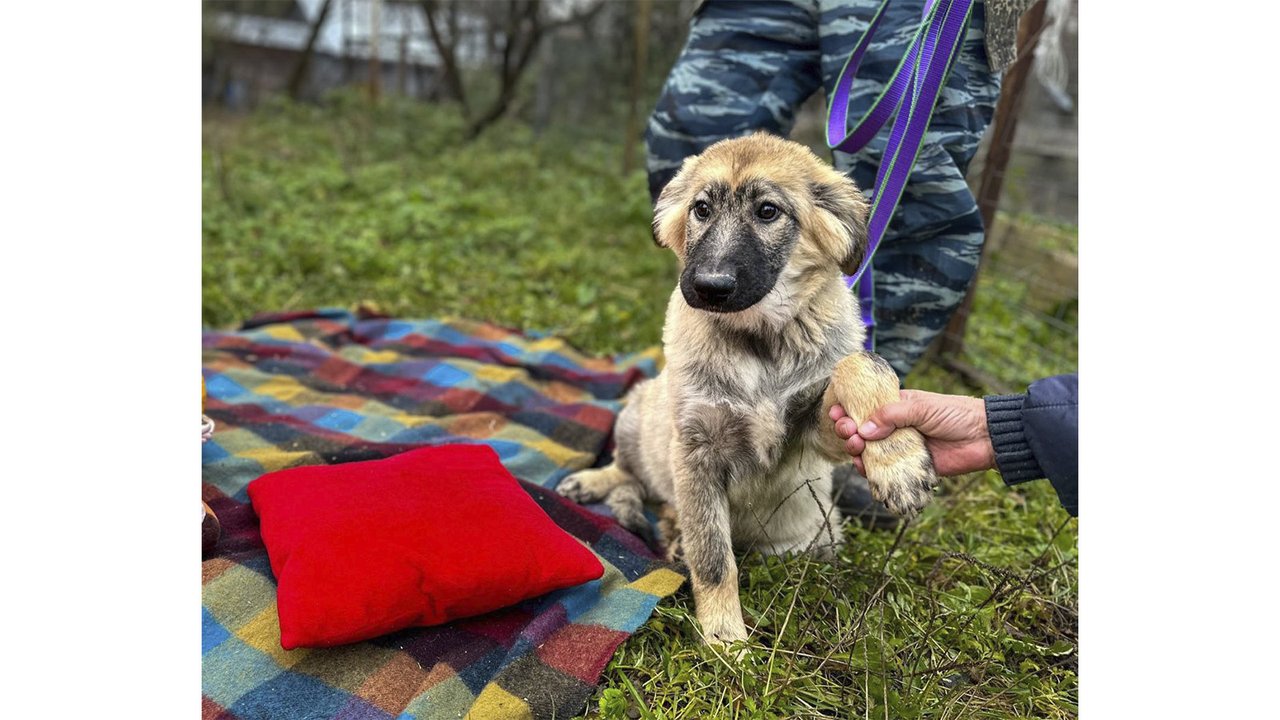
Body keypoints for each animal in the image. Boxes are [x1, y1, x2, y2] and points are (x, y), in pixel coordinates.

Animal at [555, 133, 936, 645]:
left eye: (768, 211)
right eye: (701, 209)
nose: (708, 286)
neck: (757, 342)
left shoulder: (815, 434)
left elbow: (863, 363)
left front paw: (899, 464)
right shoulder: (696, 452)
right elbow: (715, 560)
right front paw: (726, 641)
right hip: (639, 413)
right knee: (630, 472)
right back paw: (598, 485)